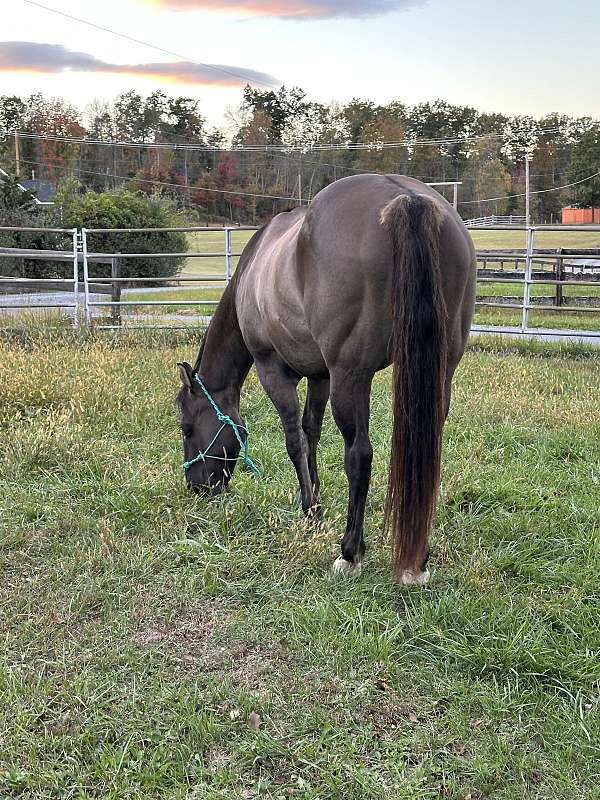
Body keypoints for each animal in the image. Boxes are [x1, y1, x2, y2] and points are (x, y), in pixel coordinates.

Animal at [176, 174, 476, 584]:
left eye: (187, 427)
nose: (196, 486)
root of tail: (407, 199)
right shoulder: (320, 376)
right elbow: (312, 433)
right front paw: (314, 500)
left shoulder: (275, 371)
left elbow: (295, 441)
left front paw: (311, 511)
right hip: (438, 371)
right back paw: (417, 560)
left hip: (351, 377)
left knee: (360, 455)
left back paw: (351, 552)